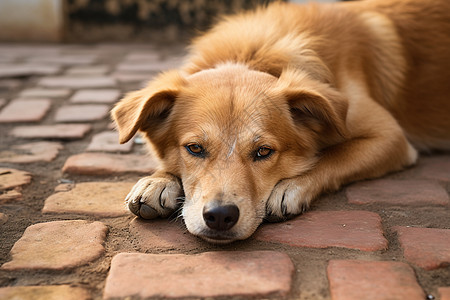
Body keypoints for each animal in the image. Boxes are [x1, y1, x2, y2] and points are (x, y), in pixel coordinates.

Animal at [111, 0, 450, 243]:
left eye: (264, 152)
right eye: (194, 148)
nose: (220, 216)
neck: (254, 54)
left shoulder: (391, 137)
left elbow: (332, 155)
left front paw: (290, 187)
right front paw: (158, 180)